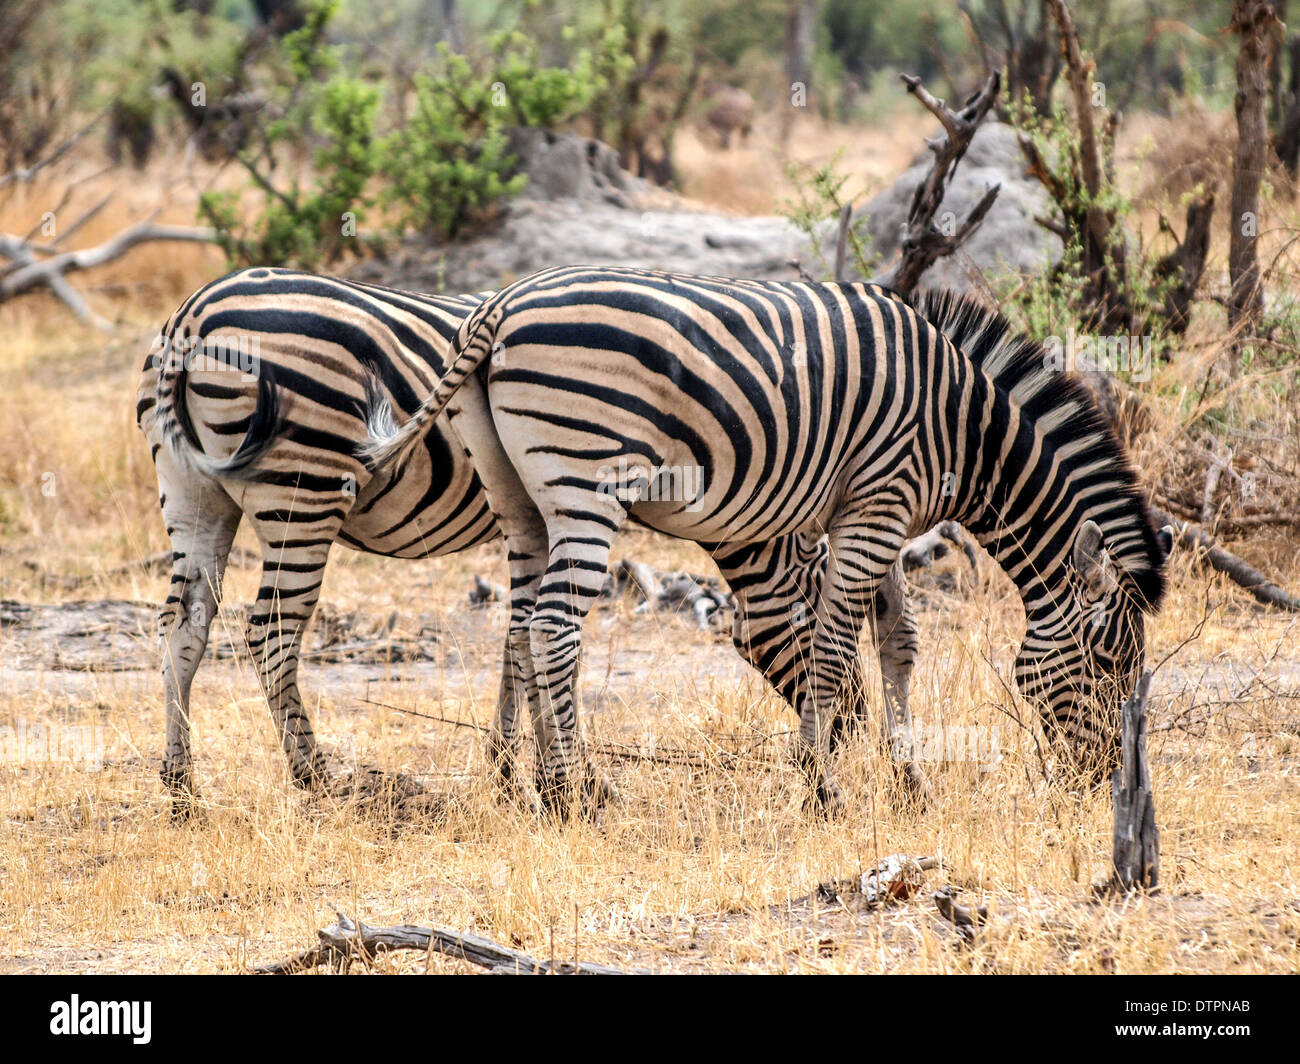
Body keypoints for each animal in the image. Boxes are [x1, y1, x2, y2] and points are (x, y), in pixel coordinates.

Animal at [134, 265, 925, 811]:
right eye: (818, 610)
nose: (849, 728)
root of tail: (194, 314)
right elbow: (535, 639)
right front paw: (543, 776)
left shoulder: (535, 515)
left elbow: (517, 639)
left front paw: (515, 773)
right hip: (302, 489)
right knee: (270, 628)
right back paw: (316, 777)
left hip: (193, 491)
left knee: (184, 626)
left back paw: (180, 785)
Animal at [361, 265, 1175, 811]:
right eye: (1109, 662)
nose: (1103, 780)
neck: (965, 427)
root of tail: (496, 308)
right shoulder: (876, 508)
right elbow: (833, 646)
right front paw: (823, 789)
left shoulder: (876, 511)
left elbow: (899, 641)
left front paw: (908, 783)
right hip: (587, 481)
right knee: (554, 628)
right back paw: (577, 794)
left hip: (520, 497)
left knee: (520, 622)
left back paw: (523, 783)